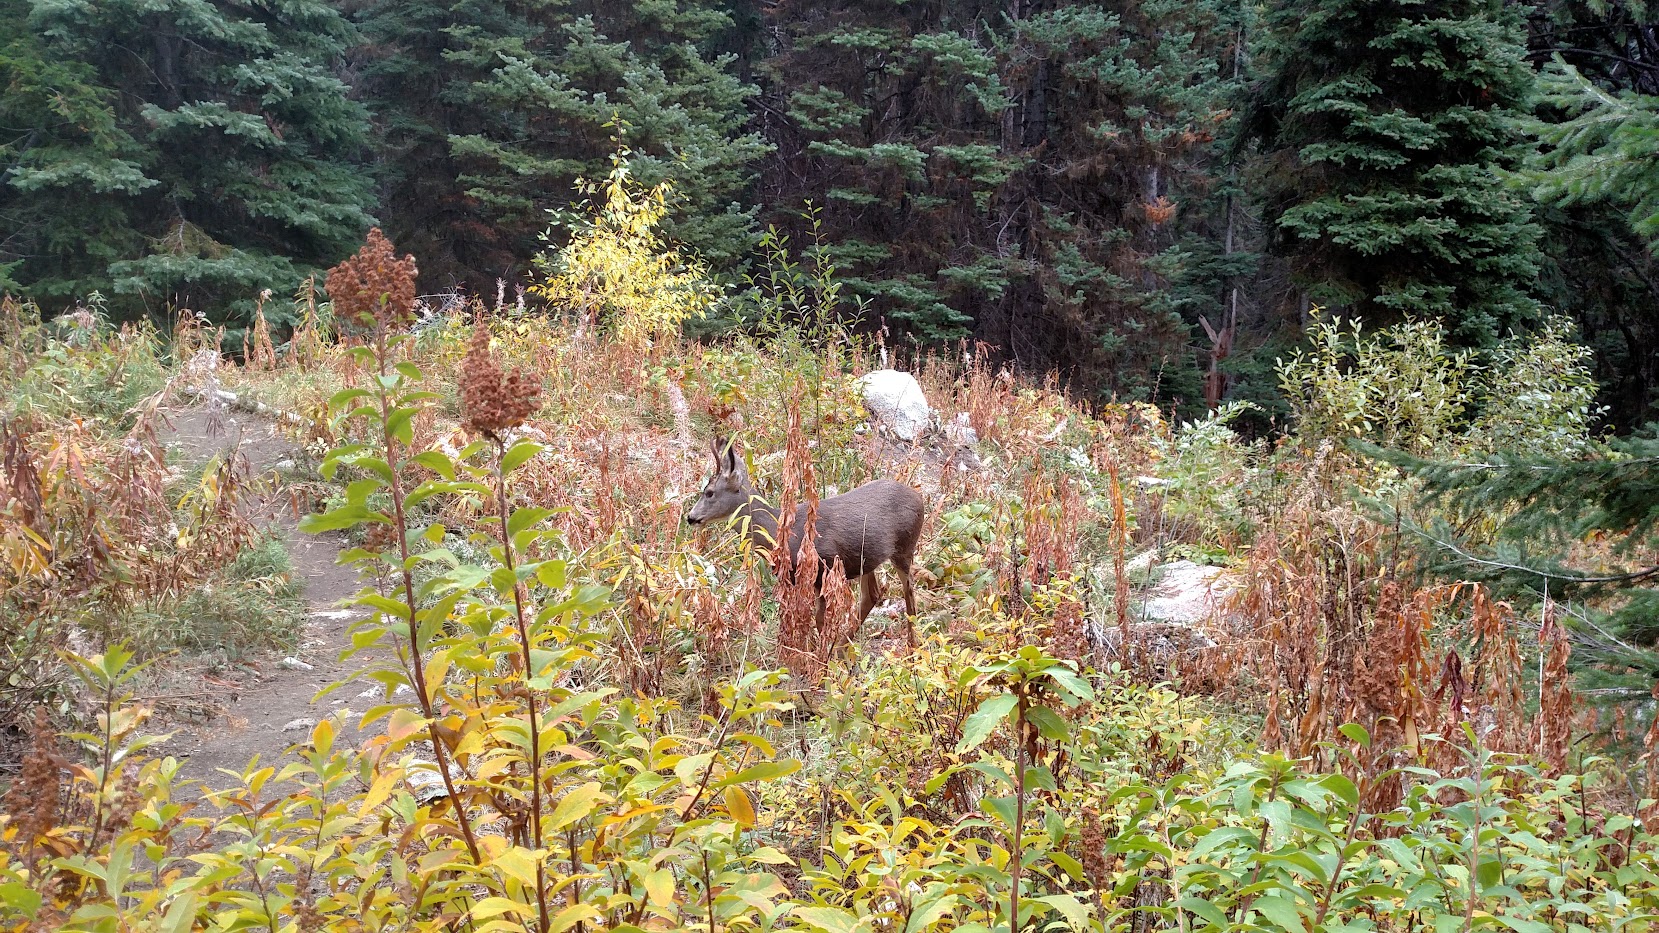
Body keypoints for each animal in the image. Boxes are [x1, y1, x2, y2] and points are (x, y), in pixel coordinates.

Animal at [683, 434, 929, 647]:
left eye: (709, 492)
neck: (780, 532)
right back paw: (844, 648)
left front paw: (822, 661)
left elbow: (820, 620)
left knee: (909, 594)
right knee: (873, 594)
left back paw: (911, 648)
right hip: (866, 558)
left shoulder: (825, 567)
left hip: (905, 546)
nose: (691, 517)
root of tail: (919, 497)